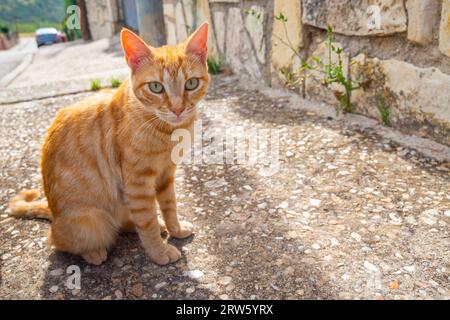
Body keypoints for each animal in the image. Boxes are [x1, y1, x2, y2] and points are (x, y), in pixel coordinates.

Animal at [8, 23, 209, 264]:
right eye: (156, 87)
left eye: (191, 83)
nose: (178, 109)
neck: (166, 130)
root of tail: (53, 213)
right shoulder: (138, 184)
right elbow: (147, 221)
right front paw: (159, 252)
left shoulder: (165, 175)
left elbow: (170, 206)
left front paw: (175, 229)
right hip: (92, 221)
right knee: (56, 241)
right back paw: (93, 252)